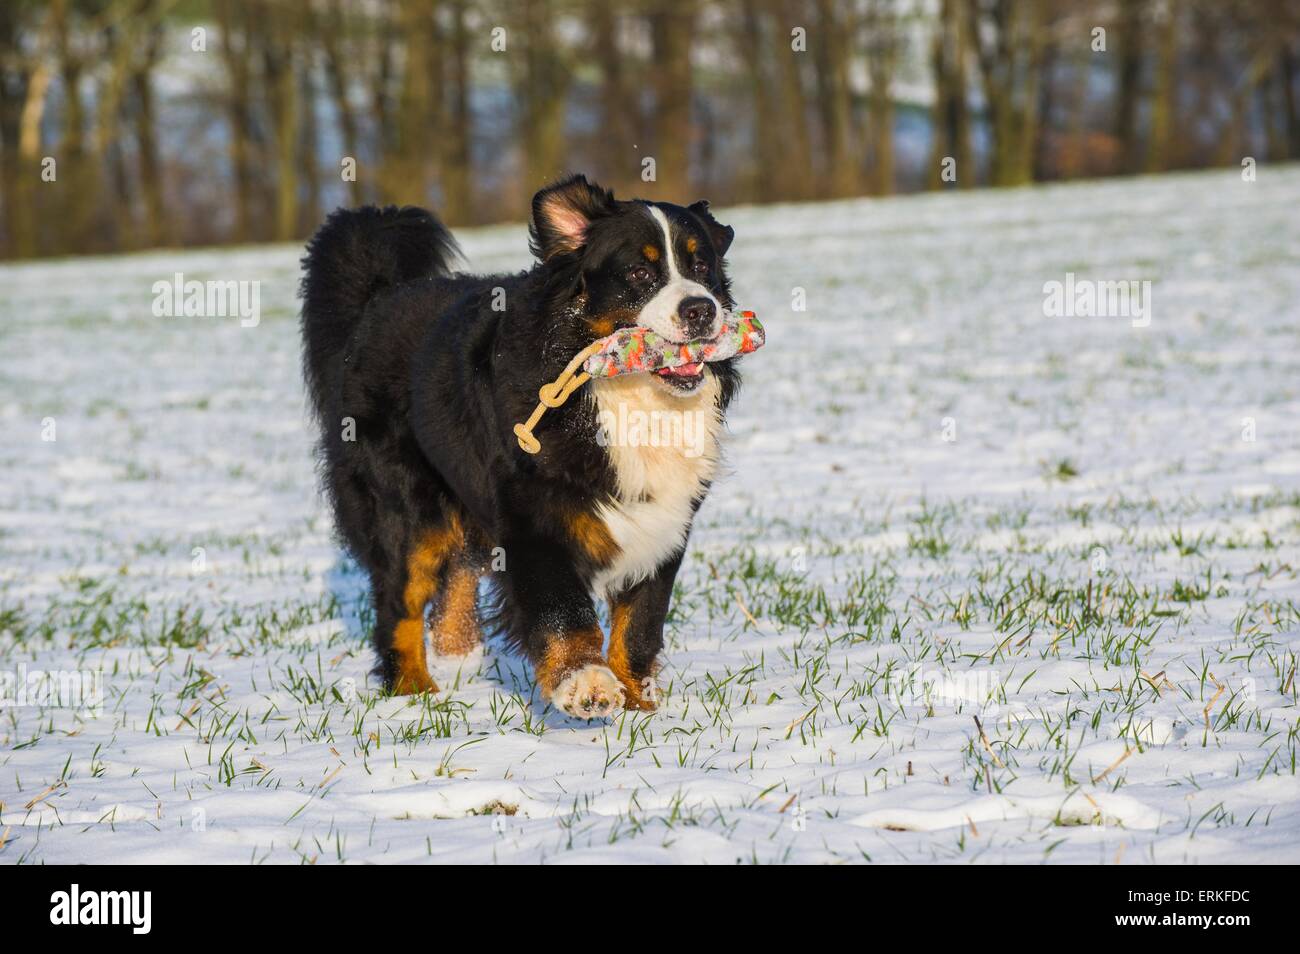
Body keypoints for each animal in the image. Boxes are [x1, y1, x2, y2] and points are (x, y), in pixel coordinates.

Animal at [297, 175, 743, 722]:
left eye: (701, 267)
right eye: (640, 272)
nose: (700, 309)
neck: (622, 398)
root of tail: (378, 301)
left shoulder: (664, 521)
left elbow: (640, 622)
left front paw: (638, 702)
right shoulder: (533, 516)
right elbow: (561, 608)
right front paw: (585, 682)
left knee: (458, 578)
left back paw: (460, 656)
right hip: (405, 509)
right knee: (398, 604)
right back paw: (415, 693)